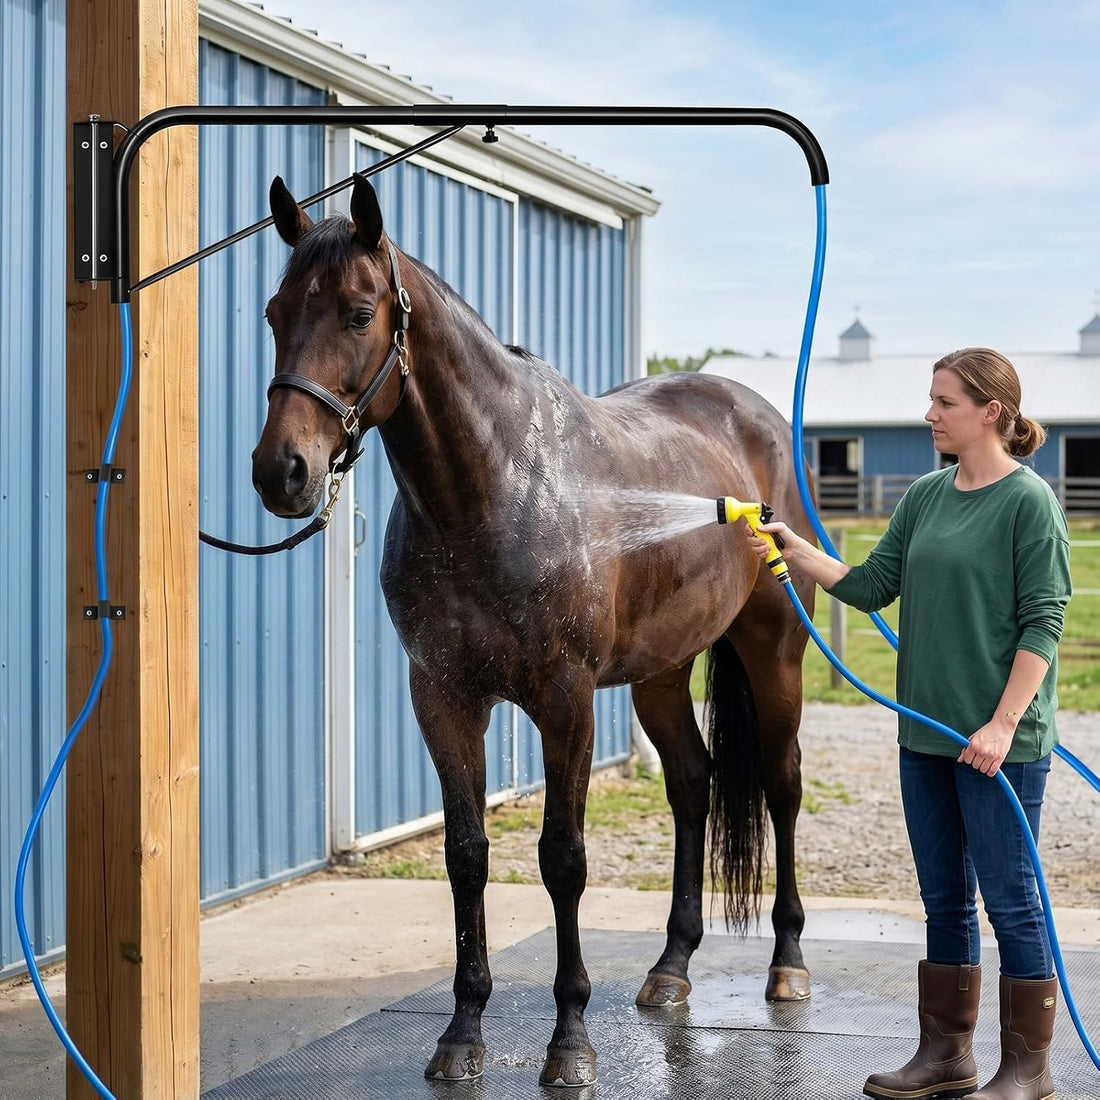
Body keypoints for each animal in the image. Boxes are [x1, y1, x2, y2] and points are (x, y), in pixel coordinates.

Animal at [252, 172, 817, 1088]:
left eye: (358, 312)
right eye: (274, 311)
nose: (282, 472)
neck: (496, 489)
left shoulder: (565, 699)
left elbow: (563, 858)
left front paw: (570, 1041)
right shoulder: (443, 697)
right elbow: (467, 854)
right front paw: (462, 1033)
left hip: (775, 655)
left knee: (781, 784)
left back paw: (788, 964)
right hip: (661, 672)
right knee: (691, 784)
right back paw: (671, 968)